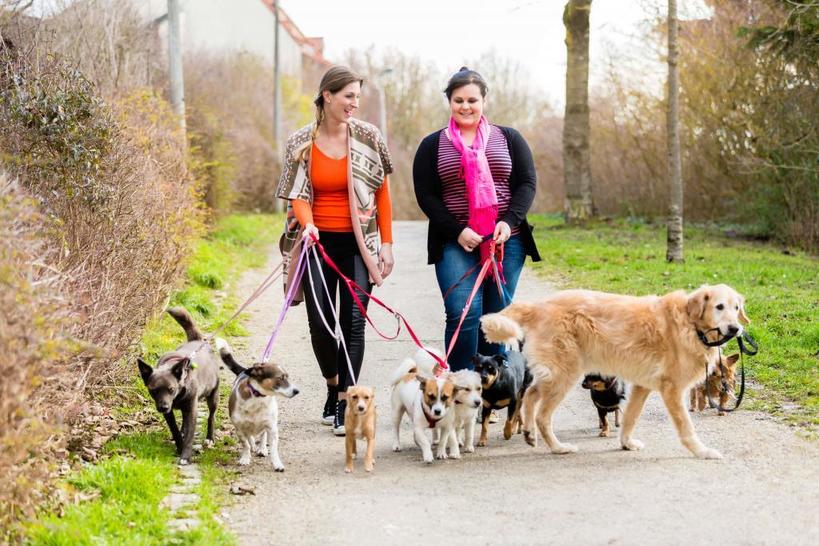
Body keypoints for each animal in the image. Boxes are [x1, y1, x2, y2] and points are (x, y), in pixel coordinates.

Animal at [216, 338, 300, 470]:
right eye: (280, 378)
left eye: (287, 377)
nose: (297, 391)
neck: (258, 397)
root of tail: (244, 372)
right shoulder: (239, 428)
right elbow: (245, 444)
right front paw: (245, 458)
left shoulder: (272, 427)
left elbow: (273, 449)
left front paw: (277, 464)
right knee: (250, 437)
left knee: (263, 435)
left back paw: (262, 449)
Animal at [484, 282, 752, 456]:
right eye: (719, 307)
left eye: (736, 308)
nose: (735, 329)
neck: (689, 323)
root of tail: (537, 306)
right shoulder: (673, 390)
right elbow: (687, 427)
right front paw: (702, 451)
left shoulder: (641, 387)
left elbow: (630, 417)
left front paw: (626, 444)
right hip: (564, 376)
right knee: (542, 415)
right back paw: (558, 448)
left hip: (555, 375)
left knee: (530, 395)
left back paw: (530, 433)